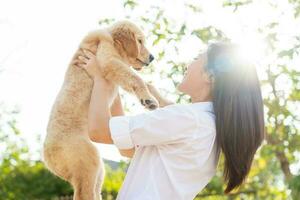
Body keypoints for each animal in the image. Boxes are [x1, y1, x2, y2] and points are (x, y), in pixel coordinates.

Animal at [43, 20, 159, 200]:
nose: (152, 57)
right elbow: (136, 78)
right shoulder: (109, 60)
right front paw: (149, 99)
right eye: (140, 41)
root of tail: (47, 156)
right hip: (89, 162)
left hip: (98, 170)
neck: (112, 40)